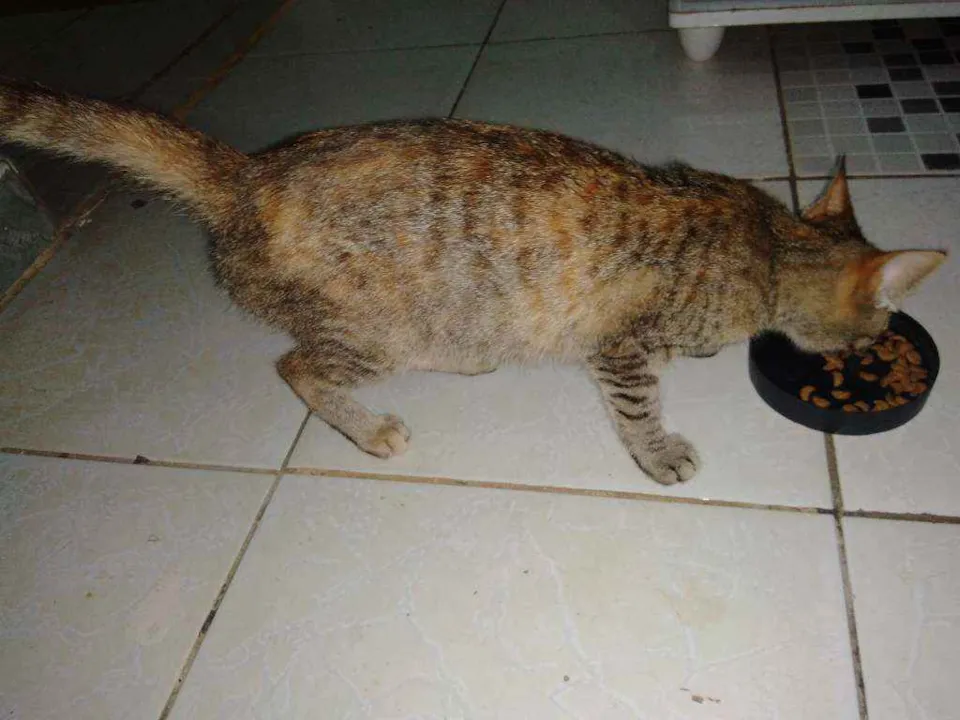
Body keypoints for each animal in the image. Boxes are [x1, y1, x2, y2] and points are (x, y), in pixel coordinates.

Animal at [0, 80, 946, 485]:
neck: (768, 244)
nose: (872, 347)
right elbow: (639, 406)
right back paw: (369, 431)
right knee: (298, 367)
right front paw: (658, 451)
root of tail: (247, 174)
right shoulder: (622, 346)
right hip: (374, 332)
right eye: (876, 332)